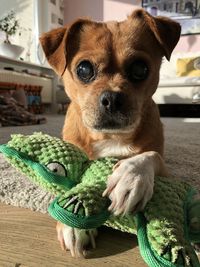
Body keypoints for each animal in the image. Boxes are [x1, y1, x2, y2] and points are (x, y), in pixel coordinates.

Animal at [40, 9, 181, 258]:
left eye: (140, 69)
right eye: (83, 69)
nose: (113, 98)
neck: (110, 137)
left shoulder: (165, 168)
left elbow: (150, 156)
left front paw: (130, 178)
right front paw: (72, 222)